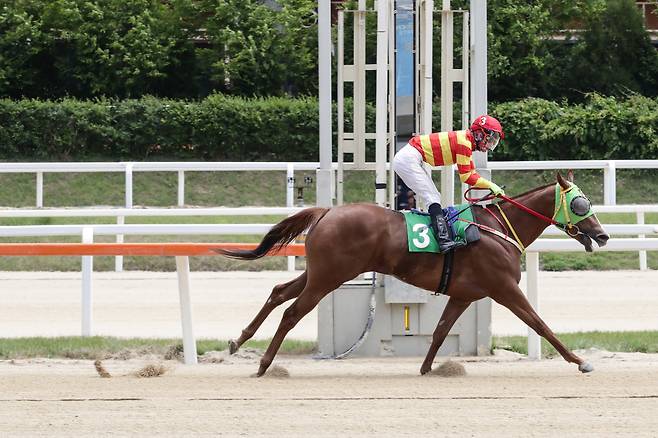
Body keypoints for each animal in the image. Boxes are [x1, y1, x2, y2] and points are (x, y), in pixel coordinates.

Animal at [222, 171, 608, 376]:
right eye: (580, 204)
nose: (603, 235)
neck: (499, 228)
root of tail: (327, 211)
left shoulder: (464, 294)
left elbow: (439, 332)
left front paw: (426, 369)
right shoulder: (503, 288)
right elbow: (540, 324)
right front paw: (580, 361)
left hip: (320, 272)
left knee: (278, 292)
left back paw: (238, 340)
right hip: (328, 277)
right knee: (291, 312)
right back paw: (264, 364)